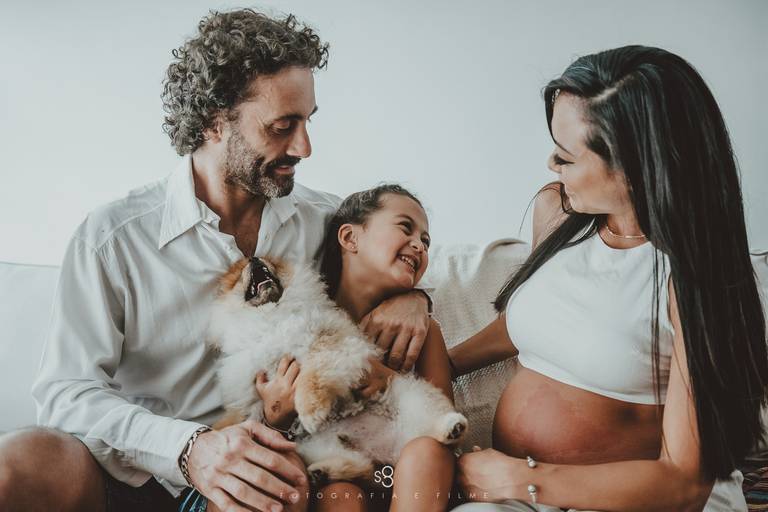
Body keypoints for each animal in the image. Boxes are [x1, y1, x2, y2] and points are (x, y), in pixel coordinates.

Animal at [207, 256, 468, 483]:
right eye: (238, 273)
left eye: (269, 261)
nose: (254, 258)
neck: (273, 318)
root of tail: (391, 448)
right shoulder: (250, 390)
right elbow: (238, 417)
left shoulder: (329, 346)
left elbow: (310, 378)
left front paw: (311, 411)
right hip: (314, 446)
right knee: (361, 466)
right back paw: (321, 472)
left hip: (409, 394)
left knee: (432, 430)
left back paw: (452, 428)